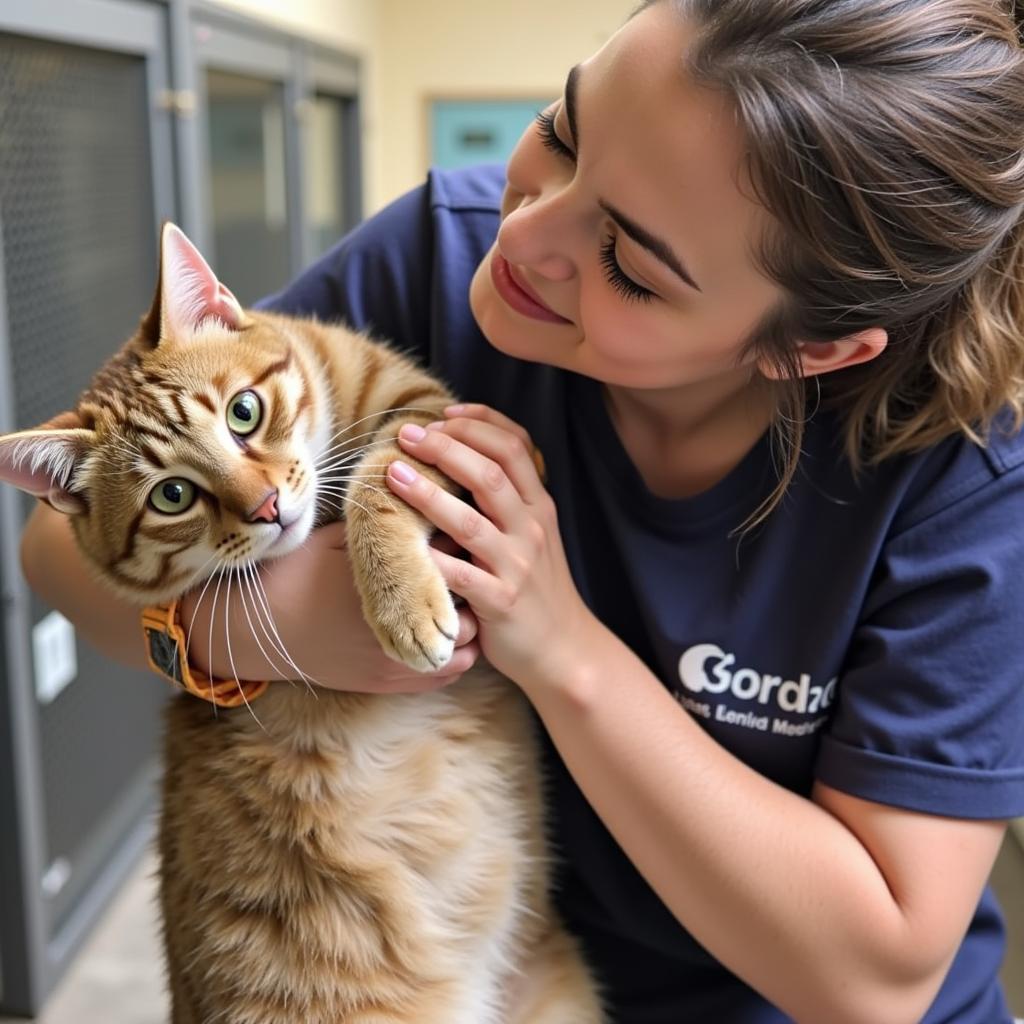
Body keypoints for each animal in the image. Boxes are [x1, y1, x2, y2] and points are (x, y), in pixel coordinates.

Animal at [0, 226, 602, 1024]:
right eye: (171, 496)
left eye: (243, 413)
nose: (266, 508)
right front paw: (407, 605)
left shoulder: (442, 419)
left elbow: (383, 478)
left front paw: (400, 597)